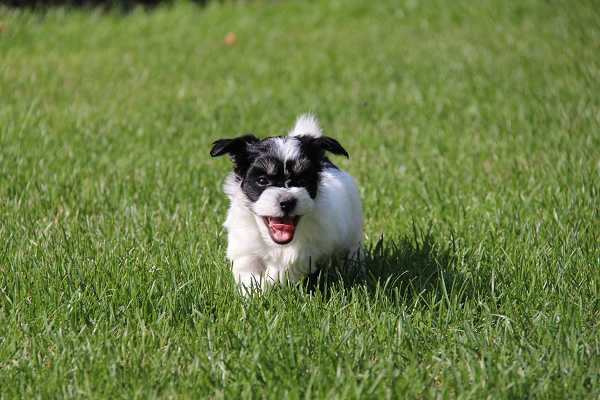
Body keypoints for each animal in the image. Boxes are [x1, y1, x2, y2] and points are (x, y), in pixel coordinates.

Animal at [210, 114, 363, 290]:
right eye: (262, 180)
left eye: (302, 180)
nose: (287, 202)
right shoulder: (244, 244)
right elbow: (247, 269)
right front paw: (254, 291)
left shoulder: (306, 246)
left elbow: (284, 266)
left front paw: (269, 285)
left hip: (352, 231)